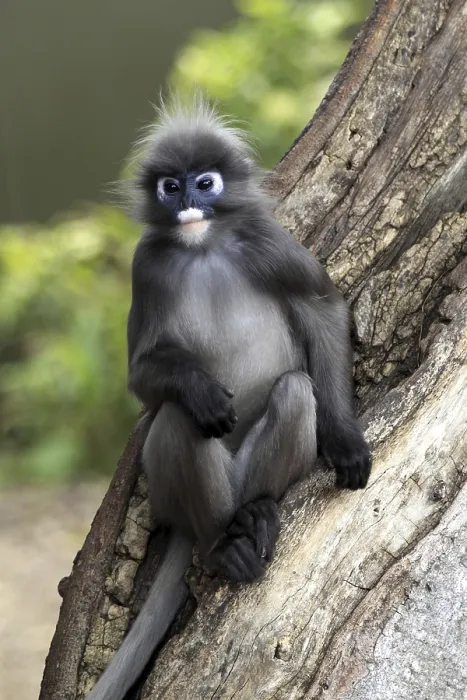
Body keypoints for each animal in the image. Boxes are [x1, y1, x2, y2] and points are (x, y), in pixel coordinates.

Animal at [85, 99, 371, 700]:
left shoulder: (267, 239)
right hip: (177, 489)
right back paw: (223, 542)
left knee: (294, 390)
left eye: (205, 182)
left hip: (248, 465)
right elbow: (143, 380)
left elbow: (324, 307)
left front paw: (345, 439)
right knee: (179, 420)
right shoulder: (146, 265)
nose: (188, 204)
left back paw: (258, 511)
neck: (204, 248)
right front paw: (200, 389)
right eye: (171, 186)